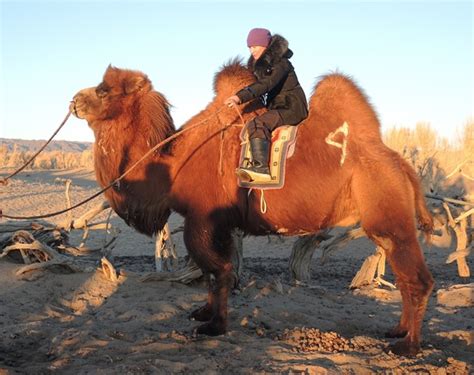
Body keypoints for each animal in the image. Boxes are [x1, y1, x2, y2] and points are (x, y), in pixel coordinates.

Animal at [69, 62, 434, 358]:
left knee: (418, 279)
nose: (74, 100)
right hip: (385, 222)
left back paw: (408, 346)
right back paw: (397, 330)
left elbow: (219, 269)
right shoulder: (220, 223)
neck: (172, 163)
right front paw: (204, 313)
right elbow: (215, 270)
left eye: (103, 90)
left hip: (389, 215)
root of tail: (403, 166)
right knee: (404, 277)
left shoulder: (202, 218)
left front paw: (214, 326)